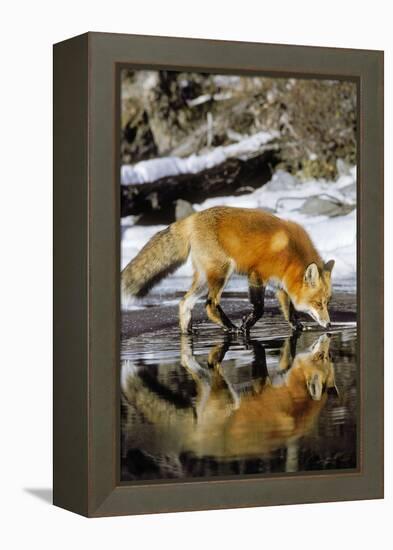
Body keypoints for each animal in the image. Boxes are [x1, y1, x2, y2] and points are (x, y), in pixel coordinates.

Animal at [121, 206, 334, 334]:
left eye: (327, 303)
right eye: (318, 304)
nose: (329, 324)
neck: (290, 255)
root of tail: (192, 218)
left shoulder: (280, 285)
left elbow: (289, 311)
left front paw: (297, 326)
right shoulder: (256, 275)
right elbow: (259, 308)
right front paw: (247, 324)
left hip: (204, 278)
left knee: (184, 303)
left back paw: (187, 333)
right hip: (223, 272)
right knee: (210, 304)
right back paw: (231, 327)